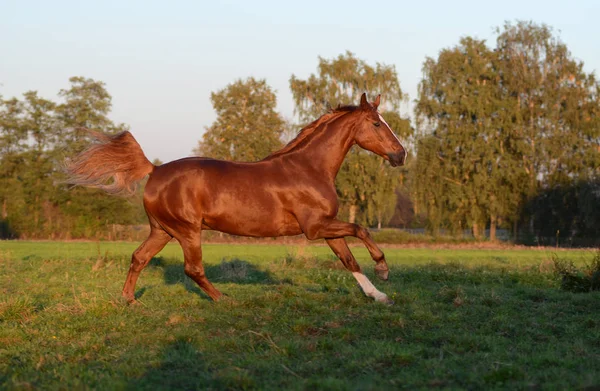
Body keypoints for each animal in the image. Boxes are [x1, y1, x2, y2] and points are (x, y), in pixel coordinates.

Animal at [65, 93, 408, 304]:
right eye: (376, 123)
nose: (401, 154)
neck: (309, 168)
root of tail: (155, 169)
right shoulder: (315, 227)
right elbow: (361, 229)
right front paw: (383, 268)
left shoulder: (326, 227)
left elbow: (348, 259)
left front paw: (379, 296)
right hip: (187, 231)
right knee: (193, 269)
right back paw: (223, 299)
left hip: (162, 231)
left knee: (139, 257)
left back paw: (129, 300)